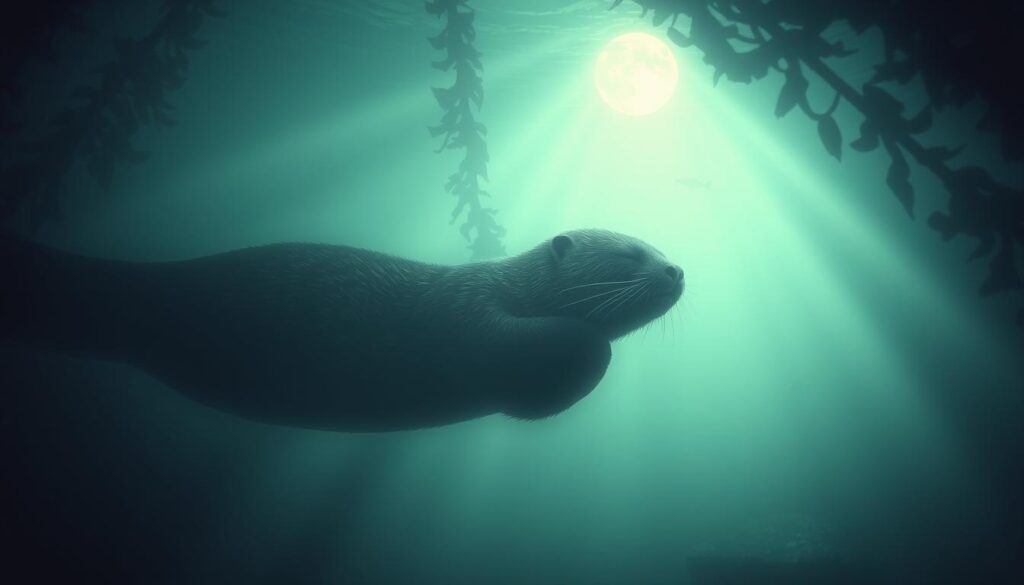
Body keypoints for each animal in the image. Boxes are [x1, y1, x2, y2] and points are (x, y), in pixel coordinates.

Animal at [1, 229, 683, 431]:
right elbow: (581, 343)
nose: (676, 268)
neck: (500, 283)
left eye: (656, 246)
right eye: (630, 252)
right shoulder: (469, 317)